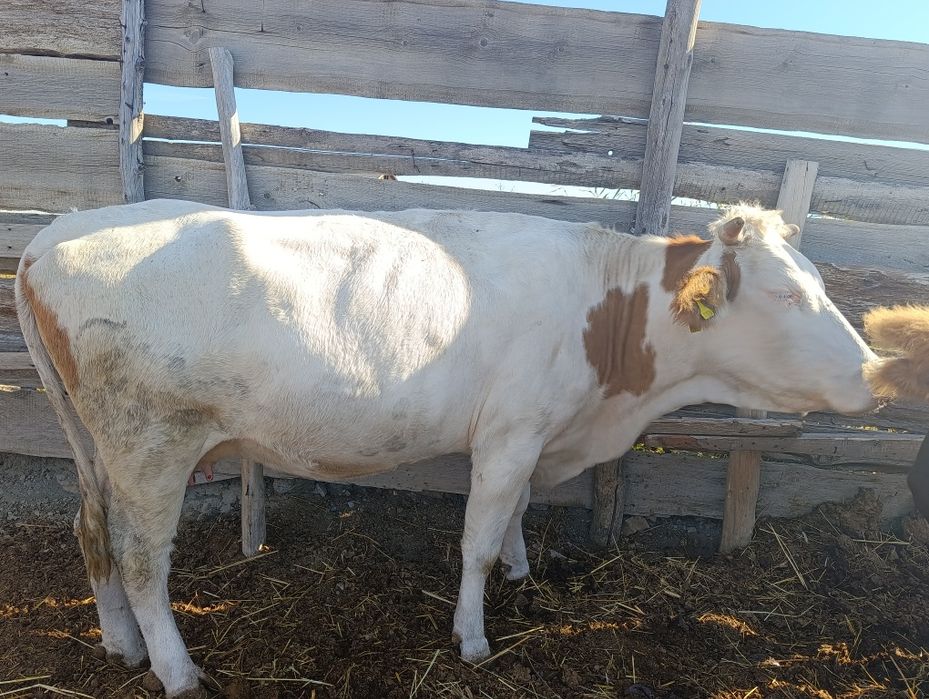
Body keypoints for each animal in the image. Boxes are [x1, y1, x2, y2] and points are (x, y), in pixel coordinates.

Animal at [16, 200, 877, 697]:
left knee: (89, 532)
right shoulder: (510, 429)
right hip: (149, 440)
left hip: (97, 445)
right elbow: (476, 538)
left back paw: (121, 645)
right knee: (139, 558)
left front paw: (523, 572)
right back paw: (175, 668)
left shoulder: (533, 430)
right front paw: (473, 637)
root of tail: (47, 236)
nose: (873, 370)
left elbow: (516, 512)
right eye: (786, 293)